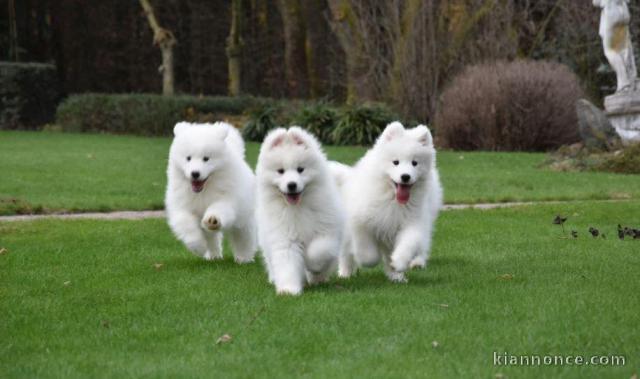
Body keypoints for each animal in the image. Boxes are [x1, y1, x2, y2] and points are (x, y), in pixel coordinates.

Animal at [165, 122, 258, 264]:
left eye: (206, 159)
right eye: (188, 158)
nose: (195, 173)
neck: (203, 191)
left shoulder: (227, 199)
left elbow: (219, 208)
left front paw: (213, 219)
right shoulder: (181, 205)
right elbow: (186, 224)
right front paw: (198, 247)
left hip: (244, 217)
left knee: (243, 237)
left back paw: (244, 258)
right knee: (211, 238)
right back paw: (213, 256)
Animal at [256, 127, 344, 296]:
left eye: (300, 169)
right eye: (280, 171)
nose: (292, 185)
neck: (298, 207)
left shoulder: (327, 232)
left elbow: (318, 251)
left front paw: (312, 265)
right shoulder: (284, 238)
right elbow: (287, 263)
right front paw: (288, 290)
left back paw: (317, 278)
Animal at [332, 121, 442, 282]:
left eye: (414, 163)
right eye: (395, 162)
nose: (405, 176)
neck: (392, 199)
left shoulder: (412, 221)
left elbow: (409, 243)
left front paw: (398, 263)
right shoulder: (359, 221)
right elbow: (366, 252)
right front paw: (368, 260)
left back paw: (399, 276)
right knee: (346, 254)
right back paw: (345, 274)